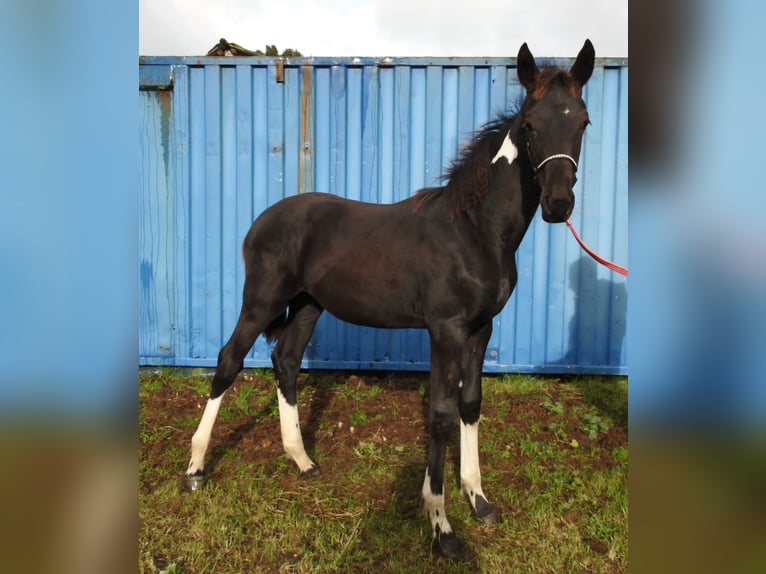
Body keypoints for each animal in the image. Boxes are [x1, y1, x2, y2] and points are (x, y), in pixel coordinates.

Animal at [186, 39, 600, 564]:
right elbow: (440, 416)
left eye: (582, 121)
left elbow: (470, 404)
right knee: (228, 361)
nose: (558, 205)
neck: (474, 231)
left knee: (286, 361)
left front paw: (478, 499)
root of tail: (263, 220)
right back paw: (196, 469)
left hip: (307, 305)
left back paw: (302, 460)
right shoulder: (445, 329)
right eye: (529, 124)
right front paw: (442, 529)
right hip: (262, 300)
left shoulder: (480, 329)